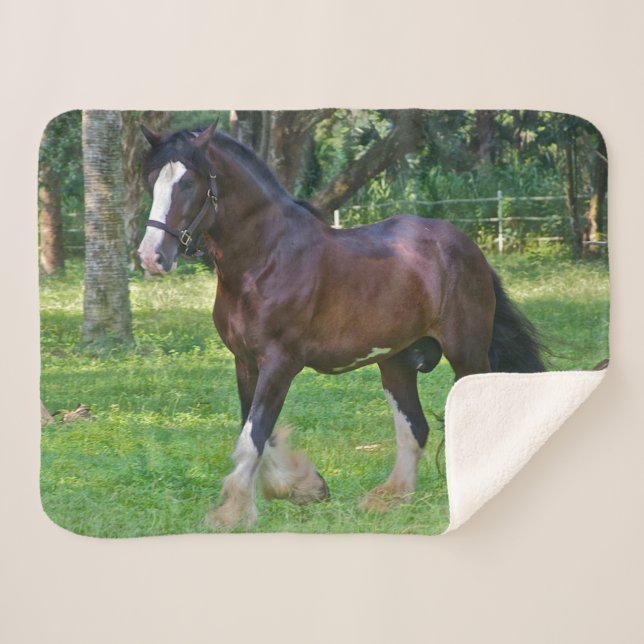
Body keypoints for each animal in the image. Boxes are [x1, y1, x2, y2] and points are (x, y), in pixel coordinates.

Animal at [137, 121, 545, 529]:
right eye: (152, 180)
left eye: (189, 182)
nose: (151, 257)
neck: (266, 258)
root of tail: (468, 247)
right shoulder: (246, 363)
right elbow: (255, 432)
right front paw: (305, 486)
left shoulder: (280, 363)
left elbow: (253, 436)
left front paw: (234, 510)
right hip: (396, 363)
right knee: (414, 429)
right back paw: (388, 498)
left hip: (467, 354)